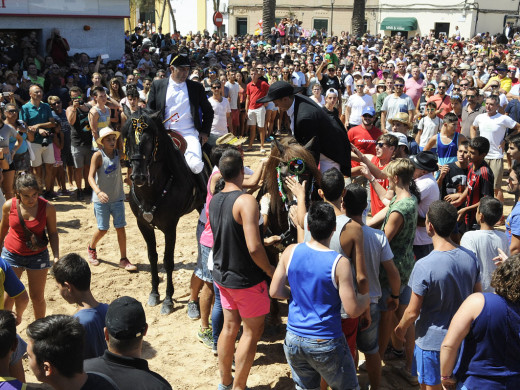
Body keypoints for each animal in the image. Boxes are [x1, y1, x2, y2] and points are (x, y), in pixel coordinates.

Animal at [123, 111, 206, 316]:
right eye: (127, 138)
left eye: (151, 140)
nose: (138, 176)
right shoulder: (143, 225)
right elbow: (152, 257)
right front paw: (154, 293)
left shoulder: (170, 227)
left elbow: (168, 261)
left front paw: (168, 300)